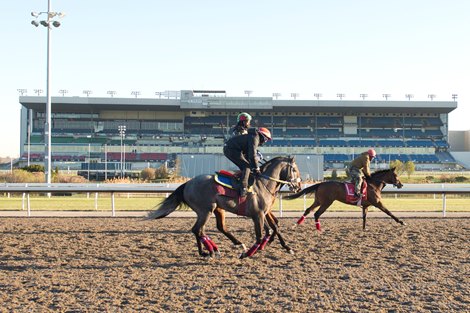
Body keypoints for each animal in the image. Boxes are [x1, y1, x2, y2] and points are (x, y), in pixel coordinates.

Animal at [147, 156, 302, 258]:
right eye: (294, 169)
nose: (299, 186)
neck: (263, 184)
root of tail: (187, 183)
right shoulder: (257, 215)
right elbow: (262, 235)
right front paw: (248, 253)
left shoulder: (263, 213)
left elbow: (273, 228)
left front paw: (287, 247)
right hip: (206, 210)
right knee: (197, 229)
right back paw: (209, 251)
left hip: (216, 209)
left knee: (211, 229)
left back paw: (216, 249)